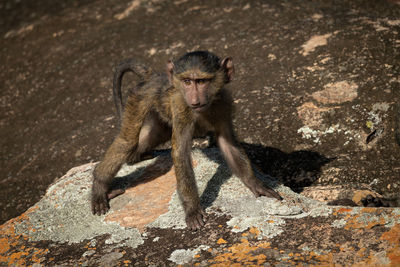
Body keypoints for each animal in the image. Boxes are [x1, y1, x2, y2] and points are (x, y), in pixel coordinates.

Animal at [92, 51, 282, 231]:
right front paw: (192, 210)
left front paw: (257, 185)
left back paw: (137, 156)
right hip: (139, 97)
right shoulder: (181, 107)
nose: (195, 100)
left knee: (147, 139)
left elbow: (229, 145)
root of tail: (154, 77)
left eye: (201, 81)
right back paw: (99, 186)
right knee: (128, 142)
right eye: (187, 81)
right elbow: (180, 153)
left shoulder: (224, 105)